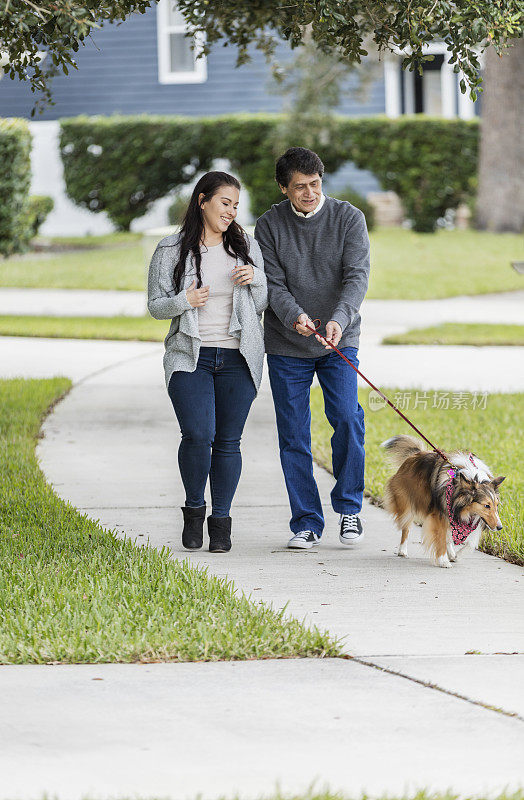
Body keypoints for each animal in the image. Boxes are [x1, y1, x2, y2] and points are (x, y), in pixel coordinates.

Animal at [380, 438, 504, 568]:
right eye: (486, 505)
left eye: (496, 505)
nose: (500, 527)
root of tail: (414, 455)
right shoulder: (439, 515)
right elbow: (440, 537)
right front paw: (443, 560)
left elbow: (470, 543)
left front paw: (457, 555)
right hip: (407, 506)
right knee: (406, 528)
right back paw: (402, 550)